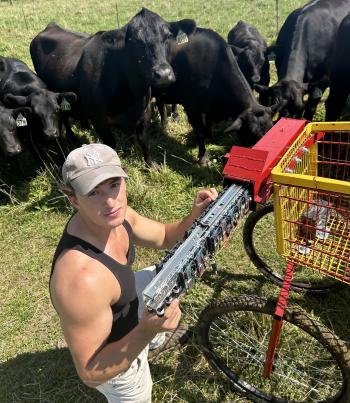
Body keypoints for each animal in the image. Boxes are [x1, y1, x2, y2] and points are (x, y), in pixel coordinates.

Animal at [30, 9, 197, 167]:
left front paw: (151, 165)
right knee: (64, 118)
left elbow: (144, 141)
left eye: (168, 36)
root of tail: (52, 26)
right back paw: (73, 138)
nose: (163, 74)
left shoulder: (145, 112)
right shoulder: (100, 120)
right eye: (134, 41)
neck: (131, 96)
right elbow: (111, 145)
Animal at [152, 27, 278, 166]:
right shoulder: (192, 108)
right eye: (252, 134)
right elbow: (200, 131)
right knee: (161, 105)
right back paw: (164, 127)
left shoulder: (210, 107)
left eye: (270, 130)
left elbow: (209, 122)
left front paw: (210, 137)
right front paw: (203, 158)